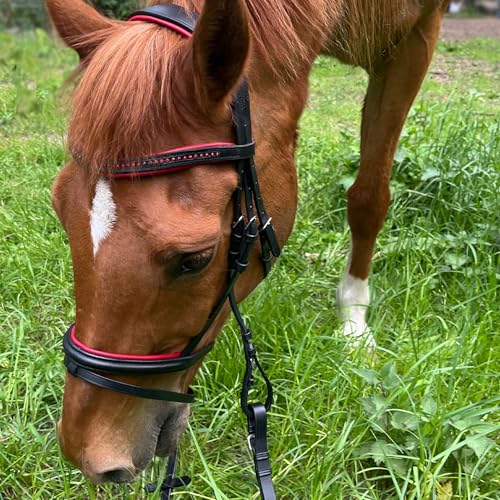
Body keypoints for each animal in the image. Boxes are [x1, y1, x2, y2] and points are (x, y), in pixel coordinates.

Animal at [47, 0, 452, 492]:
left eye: (195, 259)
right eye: (59, 208)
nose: (87, 452)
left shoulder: (415, 38)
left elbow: (369, 196)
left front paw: (354, 320)